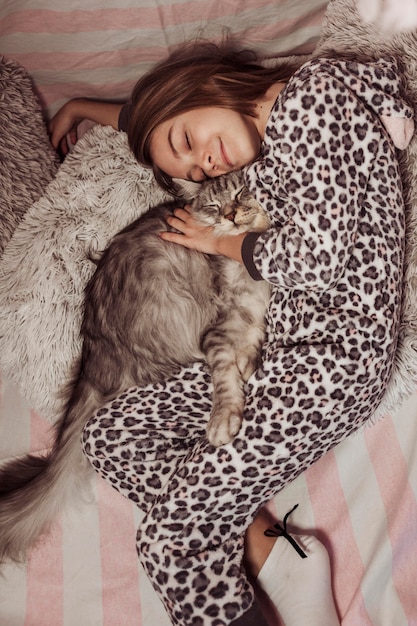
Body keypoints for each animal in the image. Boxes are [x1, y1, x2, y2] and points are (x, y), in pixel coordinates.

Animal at [0, 169, 270, 560]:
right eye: (213, 206)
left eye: (240, 192)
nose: (230, 216)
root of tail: (94, 350)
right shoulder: (216, 332)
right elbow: (225, 377)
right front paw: (224, 418)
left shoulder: (251, 314)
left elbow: (252, 338)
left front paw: (249, 361)